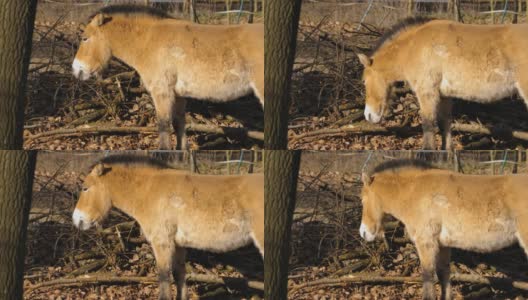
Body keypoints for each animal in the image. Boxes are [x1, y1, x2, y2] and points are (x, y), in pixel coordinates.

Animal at [71, 7, 264, 151]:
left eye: (85, 38)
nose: (76, 70)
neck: (148, 42)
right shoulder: (178, 95)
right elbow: (179, 125)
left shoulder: (162, 93)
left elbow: (164, 126)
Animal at [72, 156, 264, 300]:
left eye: (85, 188)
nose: (77, 220)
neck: (149, 192)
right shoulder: (178, 245)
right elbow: (179, 276)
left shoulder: (162, 243)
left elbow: (164, 279)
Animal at [356, 17, 528, 150]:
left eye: (364, 81)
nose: (368, 115)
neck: (412, 47)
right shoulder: (445, 96)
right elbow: (445, 123)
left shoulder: (427, 93)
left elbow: (428, 125)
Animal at [360, 159, 528, 300]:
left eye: (362, 199)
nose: (363, 233)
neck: (415, 192)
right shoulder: (443, 245)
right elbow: (444, 275)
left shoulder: (426, 243)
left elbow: (428, 277)